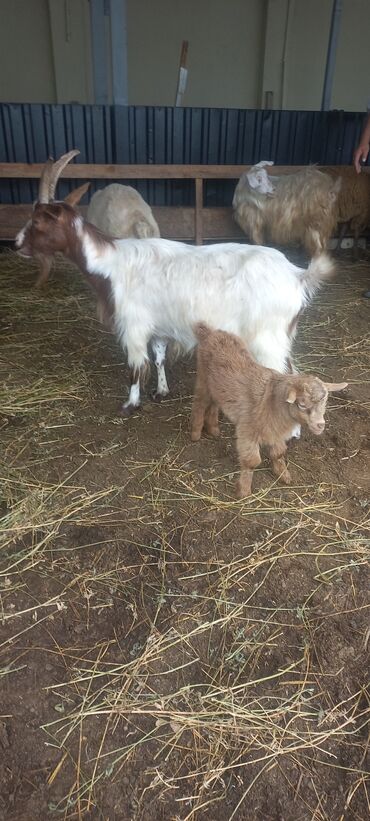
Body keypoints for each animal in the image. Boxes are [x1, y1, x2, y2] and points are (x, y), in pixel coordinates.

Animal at [15, 151, 336, 414]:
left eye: (38, 221)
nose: (17, 243)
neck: (111, 264)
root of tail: (298, 276)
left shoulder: (133, 324)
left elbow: (135, 366)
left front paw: (129, 405)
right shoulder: (158, 326)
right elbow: (158, 358)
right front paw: (161, 391)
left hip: (267, 338)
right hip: (282, 336)